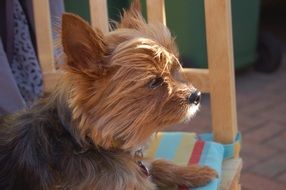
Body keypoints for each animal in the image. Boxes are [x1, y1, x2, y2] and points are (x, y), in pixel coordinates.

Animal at [0, 1, 216, 190]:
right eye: (154, 82)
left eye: (175, 69)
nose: (196, 95)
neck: (87, 140)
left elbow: (156, 164)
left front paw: (196, 172)